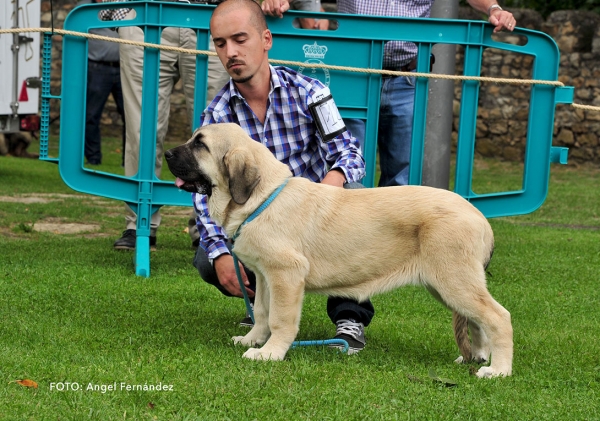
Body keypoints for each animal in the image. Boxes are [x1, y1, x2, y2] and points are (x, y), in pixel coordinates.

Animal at [166, 122, 512, 378]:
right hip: (446, 285)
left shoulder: (286, 275)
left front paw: (270, 353)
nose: (167, 153)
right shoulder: (265, 277)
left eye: (200, 145)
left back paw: (498, 370)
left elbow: (280, 319)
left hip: (454, 281)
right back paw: (476, 357)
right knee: (477, 321)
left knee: (498, 317)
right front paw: (252, 341)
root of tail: (480, 217)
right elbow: (262, 312)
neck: (262, 199)